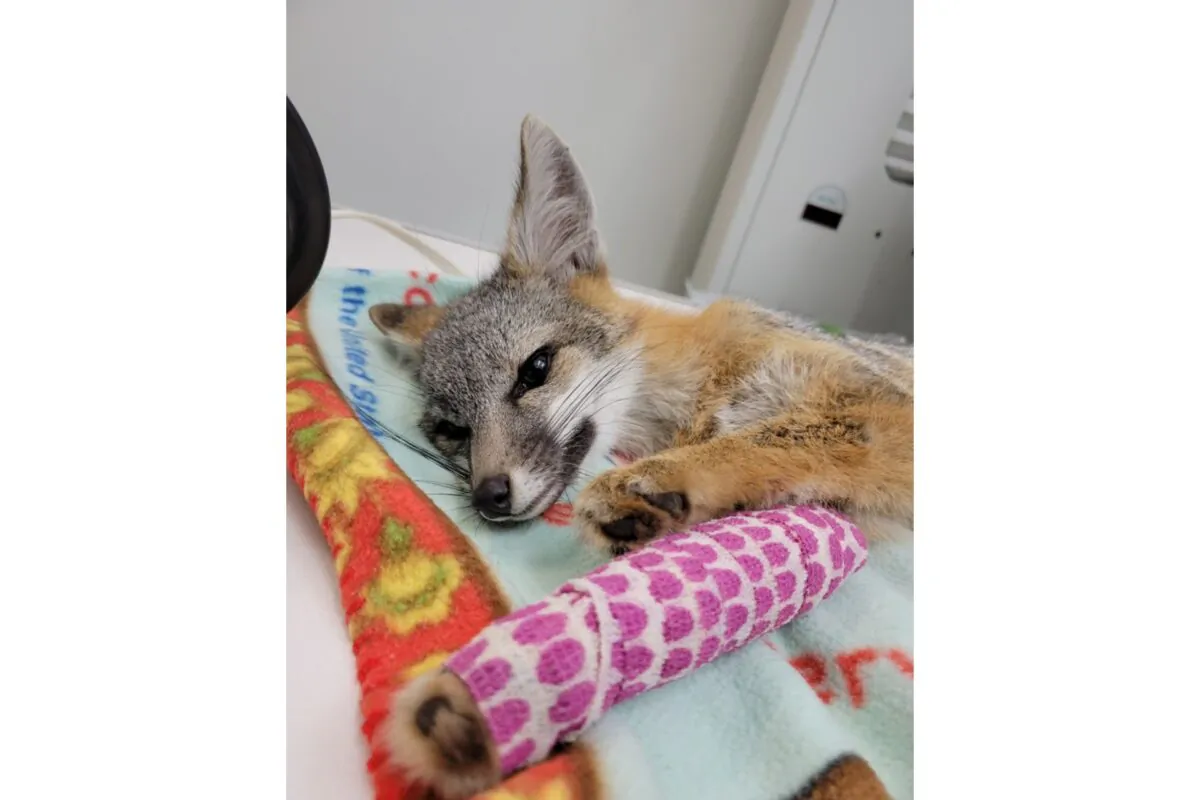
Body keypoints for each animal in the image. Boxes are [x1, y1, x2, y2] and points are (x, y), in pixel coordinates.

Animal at [369, 115, 913, 798]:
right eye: (452, 429)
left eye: (535, 369)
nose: (487, 497)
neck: (700, 394)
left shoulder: (884, 411)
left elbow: (773, 435)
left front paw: (657, 482)